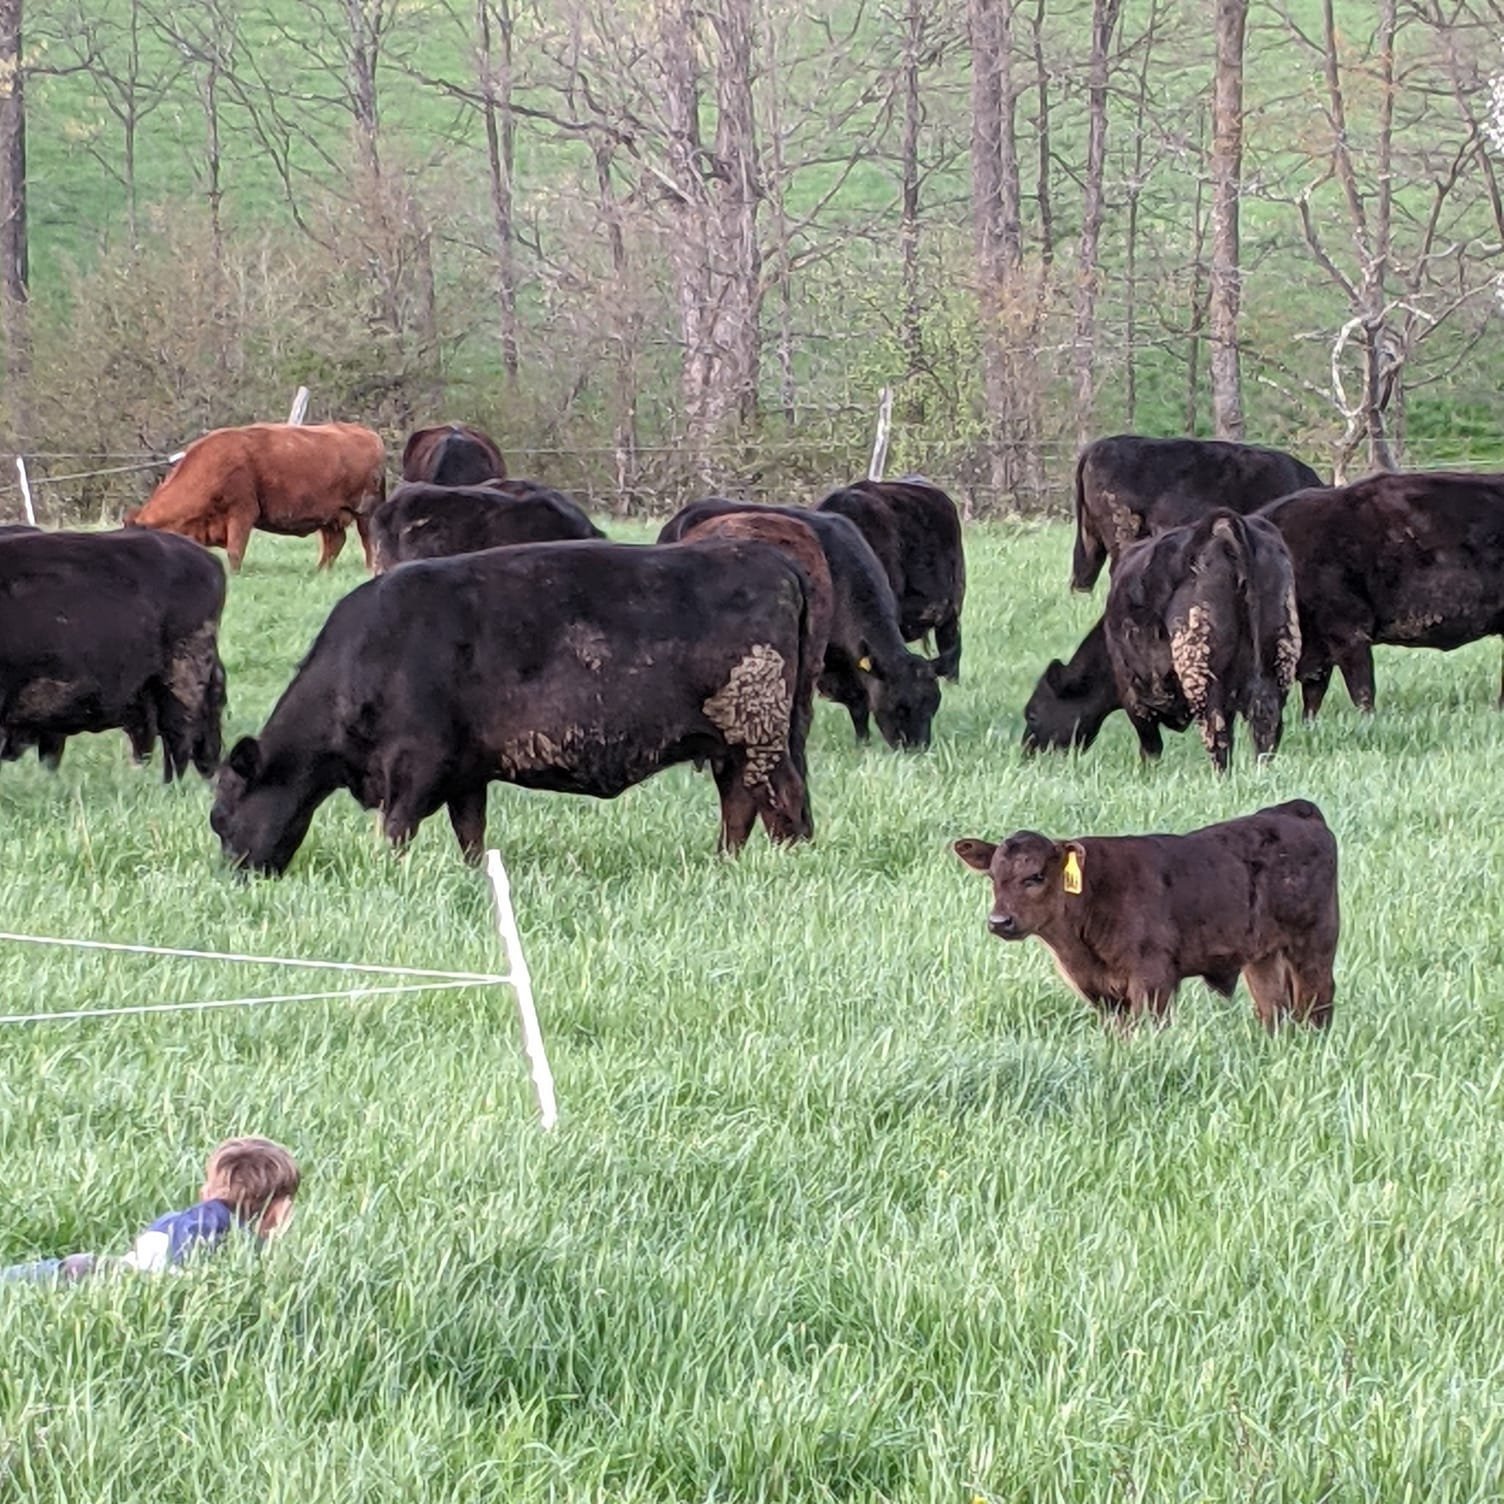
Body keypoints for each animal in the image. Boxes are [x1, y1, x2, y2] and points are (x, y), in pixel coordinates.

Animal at [125, 422, 385, 572]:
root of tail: (369, 434)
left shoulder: (242, 513)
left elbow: (235, 551)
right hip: (330, 516)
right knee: (335, 541)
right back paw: (319, 571)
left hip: (364, 512)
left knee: (368, 540)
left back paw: (370, 570)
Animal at [210, 539, 820, 874]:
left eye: (219, 818)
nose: (235, 877)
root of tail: (772, 560)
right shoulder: (465, 773)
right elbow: (470, 833)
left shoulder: (414, 766)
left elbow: (396, 830)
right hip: (734, 743)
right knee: (740, 805)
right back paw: (723, 863)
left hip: (757, 733)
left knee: (782, 802)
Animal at [953, 799, 1339, 1032]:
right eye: (992, 877)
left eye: (1035, 876)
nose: (999, 921)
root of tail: (1292, 811)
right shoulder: (1103, 994)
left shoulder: (1152, 980)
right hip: (1262, 956)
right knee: (1274, 1009)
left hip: (1313, 944)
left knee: (1316, 1000)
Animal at [1022, 511, 1300, 771]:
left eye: (1032, 714)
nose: (1026, 754)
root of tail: (1220, 527)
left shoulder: (1133, 693)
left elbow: (1150, 747)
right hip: (1279, 657)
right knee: (1267, 727)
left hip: (1198, 668)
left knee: (1216, 733)